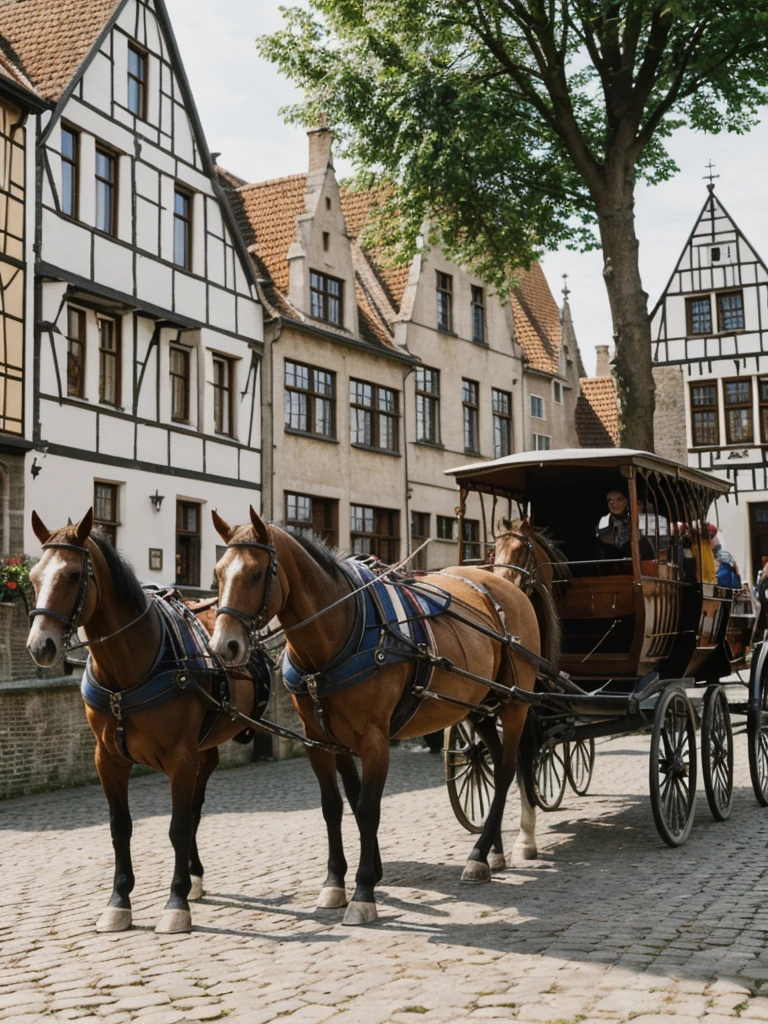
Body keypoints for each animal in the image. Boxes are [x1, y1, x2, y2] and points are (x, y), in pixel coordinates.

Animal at [25, 512, 268, 937]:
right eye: (35, 575)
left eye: (73, 575)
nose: (41, 646)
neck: (129, 669)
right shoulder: (107, 759)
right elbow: (120, 826)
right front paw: (118, 901)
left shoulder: (181, 758)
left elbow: (177, 826)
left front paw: (176, 903)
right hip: (204, 749)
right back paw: (195, 875)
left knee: (192, 812)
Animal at [207, 507, 536, 925]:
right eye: (218, 572)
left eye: (255, 573)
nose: (224, 646)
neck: (338, 633)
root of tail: (503, 584)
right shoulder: (320, 738)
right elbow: (336, 804)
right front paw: (337, 882)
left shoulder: (374, 739)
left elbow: (367, 808)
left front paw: (364, 889)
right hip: (478, 704)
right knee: (493, 761)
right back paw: (492, 850)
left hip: (515, 703)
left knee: (507, 769)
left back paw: (480, 855)